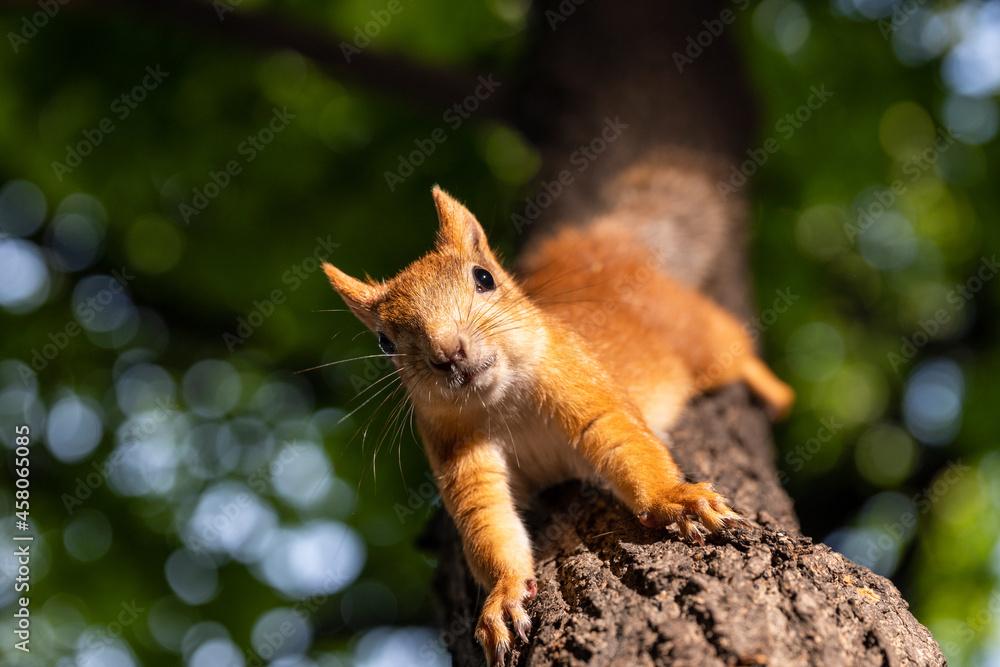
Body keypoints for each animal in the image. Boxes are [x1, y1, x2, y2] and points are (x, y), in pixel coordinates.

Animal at [321, 185, 794, 665]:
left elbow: (627, 444)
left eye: (484, 278)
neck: (501, 403)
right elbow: (488, 525)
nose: (447, 353)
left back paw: (773, 390)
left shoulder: (587, 391)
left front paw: (674, 500)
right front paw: (504, 597)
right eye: (384, 342)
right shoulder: (460, 458)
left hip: (698, 337)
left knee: (737, 352)